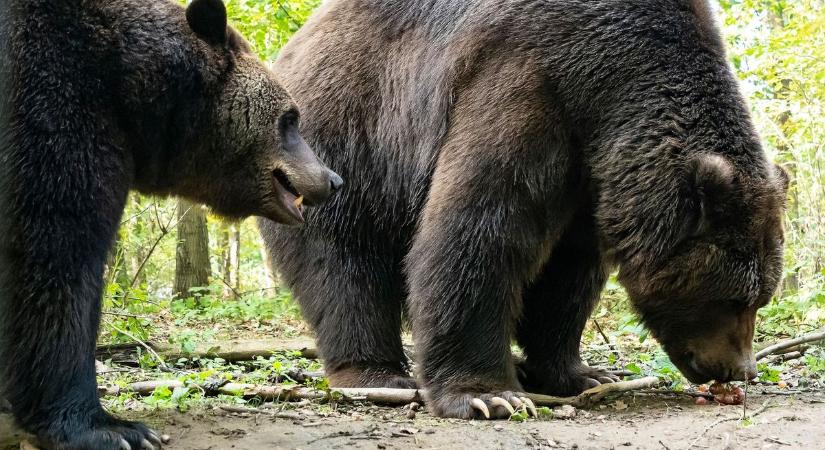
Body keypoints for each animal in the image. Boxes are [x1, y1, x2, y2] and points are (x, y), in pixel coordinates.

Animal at [258, 0, 784, 420]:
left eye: (761, 297)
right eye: (735, 298)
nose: (742, 369)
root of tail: (291, 50)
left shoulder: (591, 174)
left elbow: (568, 271)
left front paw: (580, 372)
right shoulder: (527, 83)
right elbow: (481, 229)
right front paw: (488, 394)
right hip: (344, 148)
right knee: (344, 268)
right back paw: (376, 375)